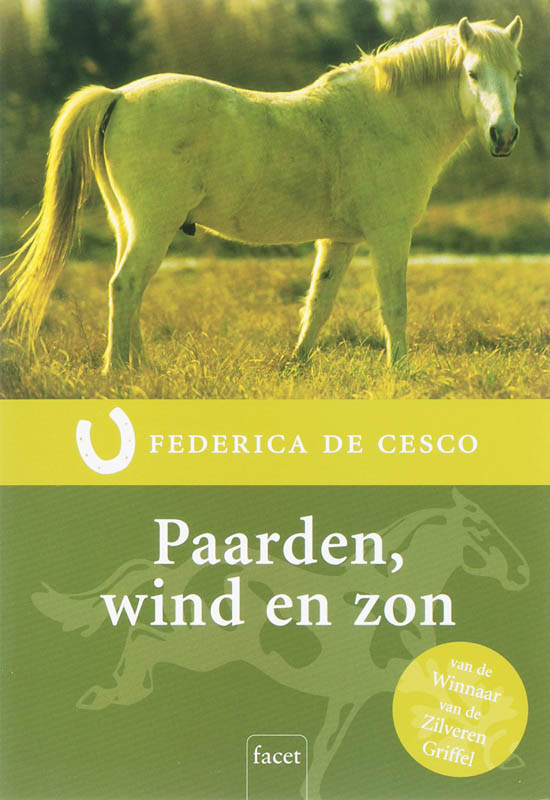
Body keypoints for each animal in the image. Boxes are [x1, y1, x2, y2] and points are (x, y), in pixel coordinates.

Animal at [1, 17, 522, 373]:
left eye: (516, 74)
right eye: (473, 73)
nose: (504, 136)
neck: (386, 115)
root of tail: (119, 96)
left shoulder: (339, 241)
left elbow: (318, 305)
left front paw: (298, 364)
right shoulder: (389, 236)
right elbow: (394, 307)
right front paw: (401, 373)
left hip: (129, 225)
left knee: (128, 289)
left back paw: (138, 366)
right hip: (153, 227)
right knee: (126, 286)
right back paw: (117, 370)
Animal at [32, 489, 529, 799]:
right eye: (482, 532)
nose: (523, 573)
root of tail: (186, 564)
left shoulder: (356, 692)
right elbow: (459, 707)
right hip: (205, 647)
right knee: (144, 638)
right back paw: (112, 693)